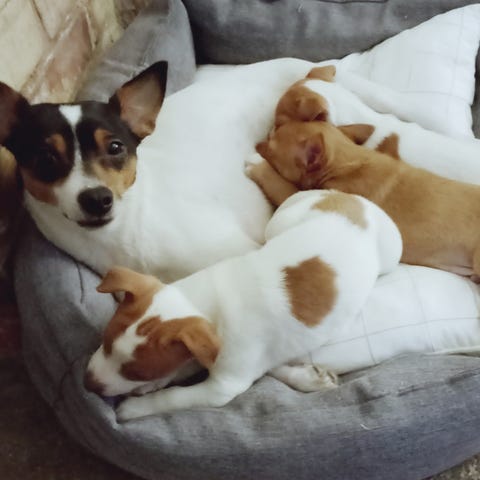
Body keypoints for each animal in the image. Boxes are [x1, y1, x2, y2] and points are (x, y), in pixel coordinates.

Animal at [84, 189, 402, 420]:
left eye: (137, 372)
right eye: (105, 342)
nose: (88, 384)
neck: (202, 302)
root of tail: (352, 199)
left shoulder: (221, 387)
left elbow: (173, 397)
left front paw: (137, 406)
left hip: (390, 254)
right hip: (283, 219)